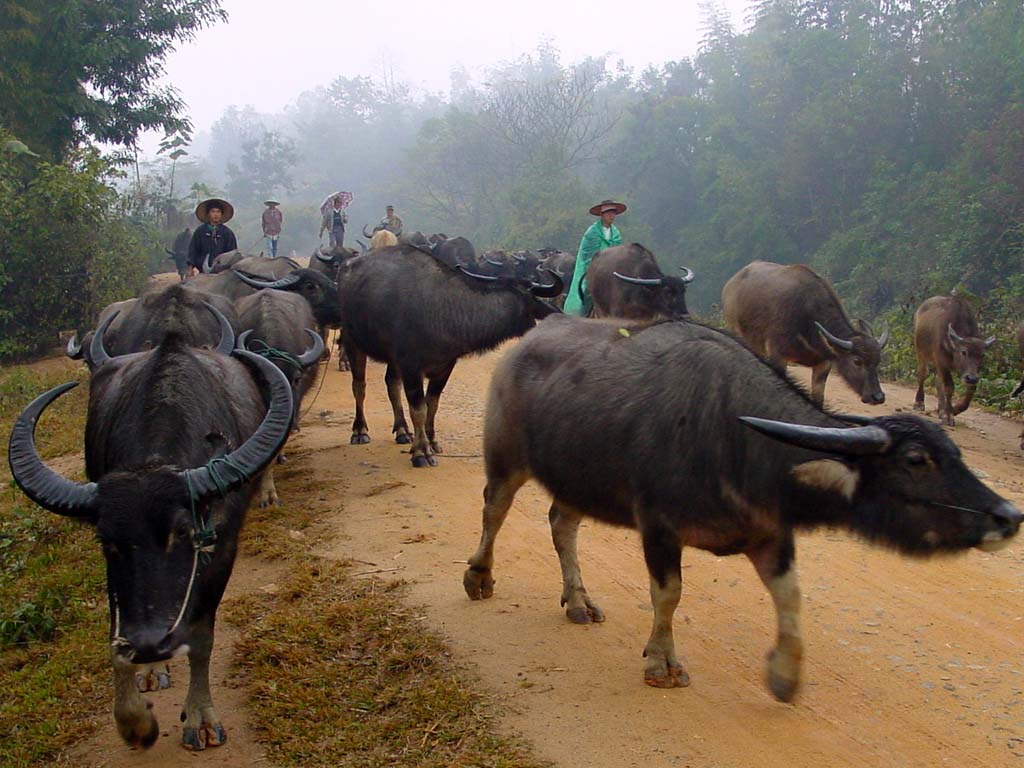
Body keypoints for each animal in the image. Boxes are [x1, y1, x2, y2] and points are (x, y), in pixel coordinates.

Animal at [9, 325, 292, 753]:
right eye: (107, 542)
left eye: (182, 533)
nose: (148, 644)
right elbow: (116, 633)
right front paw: (135, 721)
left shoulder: (222, 547)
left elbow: (202, 636)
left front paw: (200, 717)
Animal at [462, 317, 1015, 704]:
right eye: (916, 460)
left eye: (955, 454)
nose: (1008, 515)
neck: (733, 436)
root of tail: (524, 344)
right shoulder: (658, 525)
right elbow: (668, 594)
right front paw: (662, 664)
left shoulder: (768, 534)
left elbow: (791, 598)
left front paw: (785, 675)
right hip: (506, 456)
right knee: (494, 510)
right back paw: (480, 577)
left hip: (577, 477)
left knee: (562, 524)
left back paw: (578, 601)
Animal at [720, 262, 888, 409]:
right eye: (857, 361)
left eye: (878, 361)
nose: (878, 397)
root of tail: (730, 285)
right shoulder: (777, 355)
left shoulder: (823, 365)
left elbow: (818, 400)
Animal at [917, 294, 995, 428]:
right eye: (964, 352)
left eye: (982, 355)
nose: (972, 378)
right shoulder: (942, 362)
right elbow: (949, 387)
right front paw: (948, 416)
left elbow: (971, 389)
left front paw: (954, 410)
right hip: (921, 352)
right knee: (923, 373)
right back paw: (919, 403)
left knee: (938, 381)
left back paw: (941, 409)